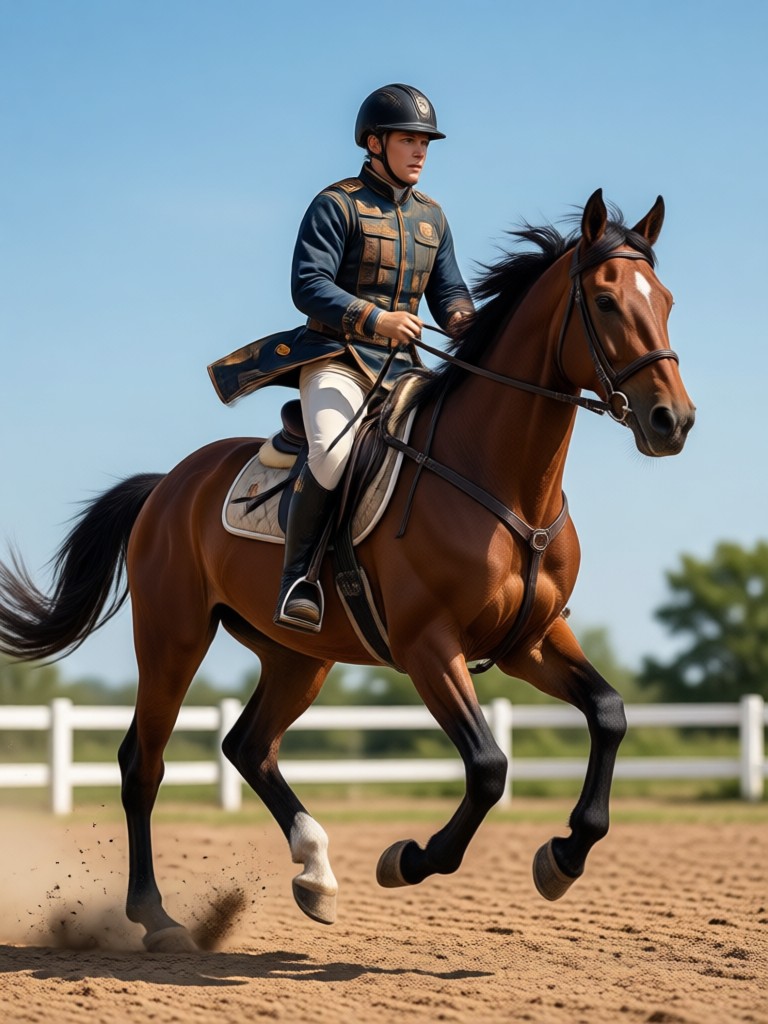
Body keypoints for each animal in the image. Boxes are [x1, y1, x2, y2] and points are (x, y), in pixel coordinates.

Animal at [0, 189, 695, 952]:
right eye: (604, 301)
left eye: (664, 299)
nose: (673, 421)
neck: (505, 483)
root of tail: (166, 486)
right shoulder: (429, 647)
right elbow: (488, 768)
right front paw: (409, 859)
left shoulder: (531, 641)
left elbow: (609, 715)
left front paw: (564, 857)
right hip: (172, 639)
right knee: (142, 765)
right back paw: (158, 916)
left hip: (298, 657)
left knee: (249, 746)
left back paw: (316, 874)